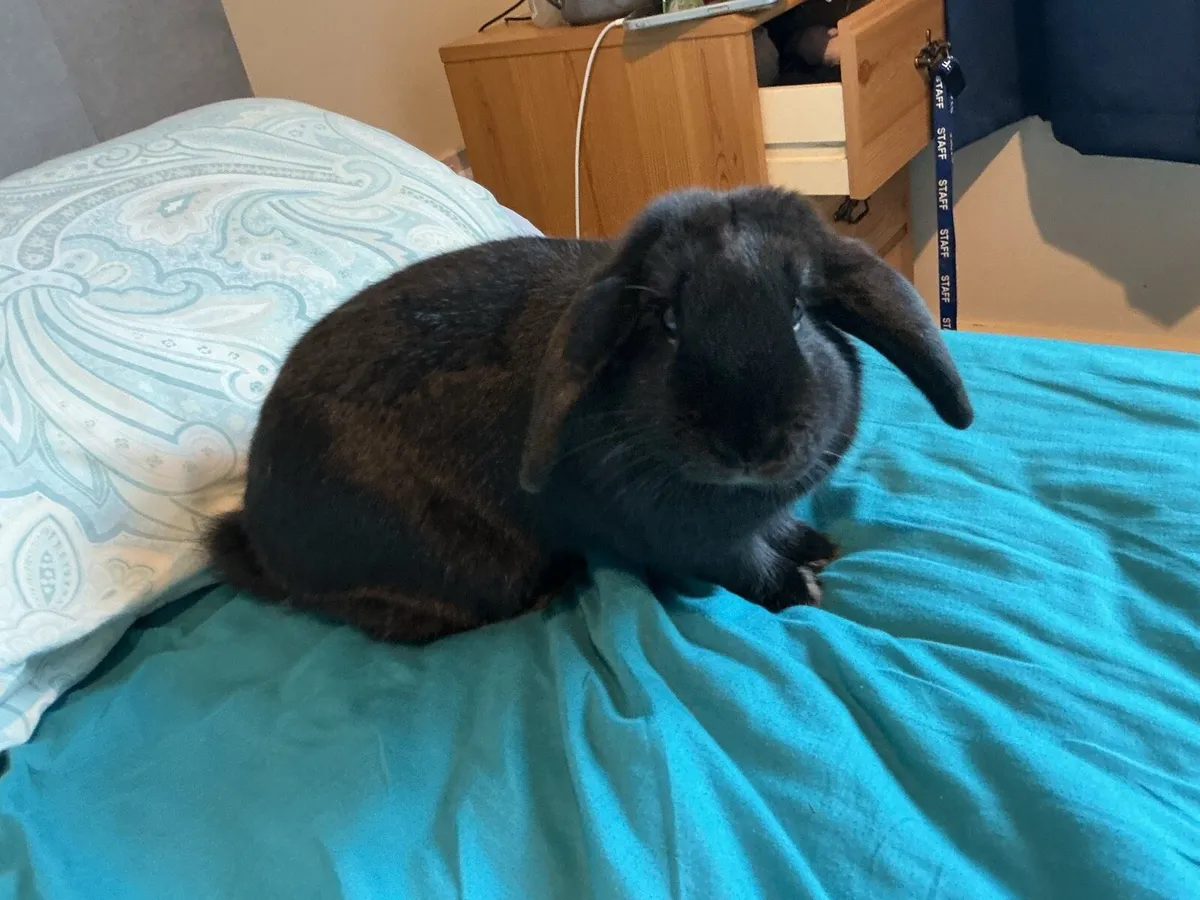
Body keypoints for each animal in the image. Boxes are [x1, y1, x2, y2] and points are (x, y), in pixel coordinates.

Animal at [206, 186, 973, 644]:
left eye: (796, 311)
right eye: (667, 322)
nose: (748, 442)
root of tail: (260, 538)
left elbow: (778, 529)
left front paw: (817, 546)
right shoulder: (697, 543)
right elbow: (749, 568)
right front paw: (802, 590)